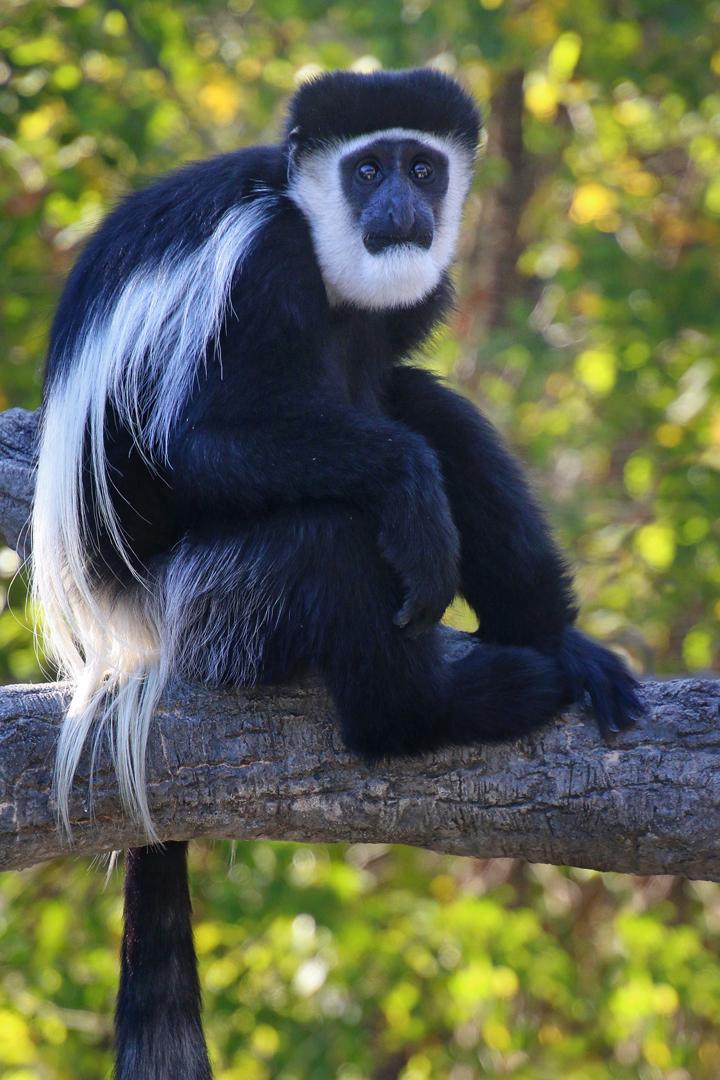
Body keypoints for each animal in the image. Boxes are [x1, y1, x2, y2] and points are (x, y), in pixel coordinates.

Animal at [31, 68, 642, 1078]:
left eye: (421, 166)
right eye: (366, 169)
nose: (400, 205)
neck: (313, 228)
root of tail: (128, 642)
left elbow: (398, 398)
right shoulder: (260, 264)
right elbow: (201, 438)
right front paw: (408, 492)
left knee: (427, 407)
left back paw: (556, 647)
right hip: (209, 600)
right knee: (329, 534)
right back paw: (435, 710)